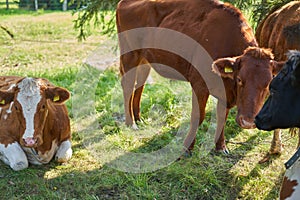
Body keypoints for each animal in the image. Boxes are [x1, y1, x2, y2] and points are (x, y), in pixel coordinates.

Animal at [116, 0, 282, 155]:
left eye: (268, 84)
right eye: (240, 79)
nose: (247, 122)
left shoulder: (225, 94)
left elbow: (222, 117)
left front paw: (221, 147)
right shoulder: (199, 84)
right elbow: (198, 117)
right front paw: (187, 149)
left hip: (145, 59)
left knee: (140, 84)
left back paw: (138, 118)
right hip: (129, 54)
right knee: (128, 86)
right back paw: (131, 123)